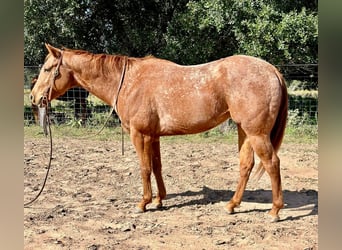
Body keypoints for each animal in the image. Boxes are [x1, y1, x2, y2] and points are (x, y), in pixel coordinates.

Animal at [30, 44, 288, 222]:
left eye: (47, 69)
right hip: (245, 131)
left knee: (272, 163)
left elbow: (144, 168)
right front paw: (159, 200)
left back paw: (275, 211)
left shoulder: (140, 135)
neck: (129, 81)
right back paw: (232, 205)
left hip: (257, 133)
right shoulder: (153, 137)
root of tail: (272, 70)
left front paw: (144, 203)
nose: (34, 97)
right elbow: (156, 167)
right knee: (246, 165)